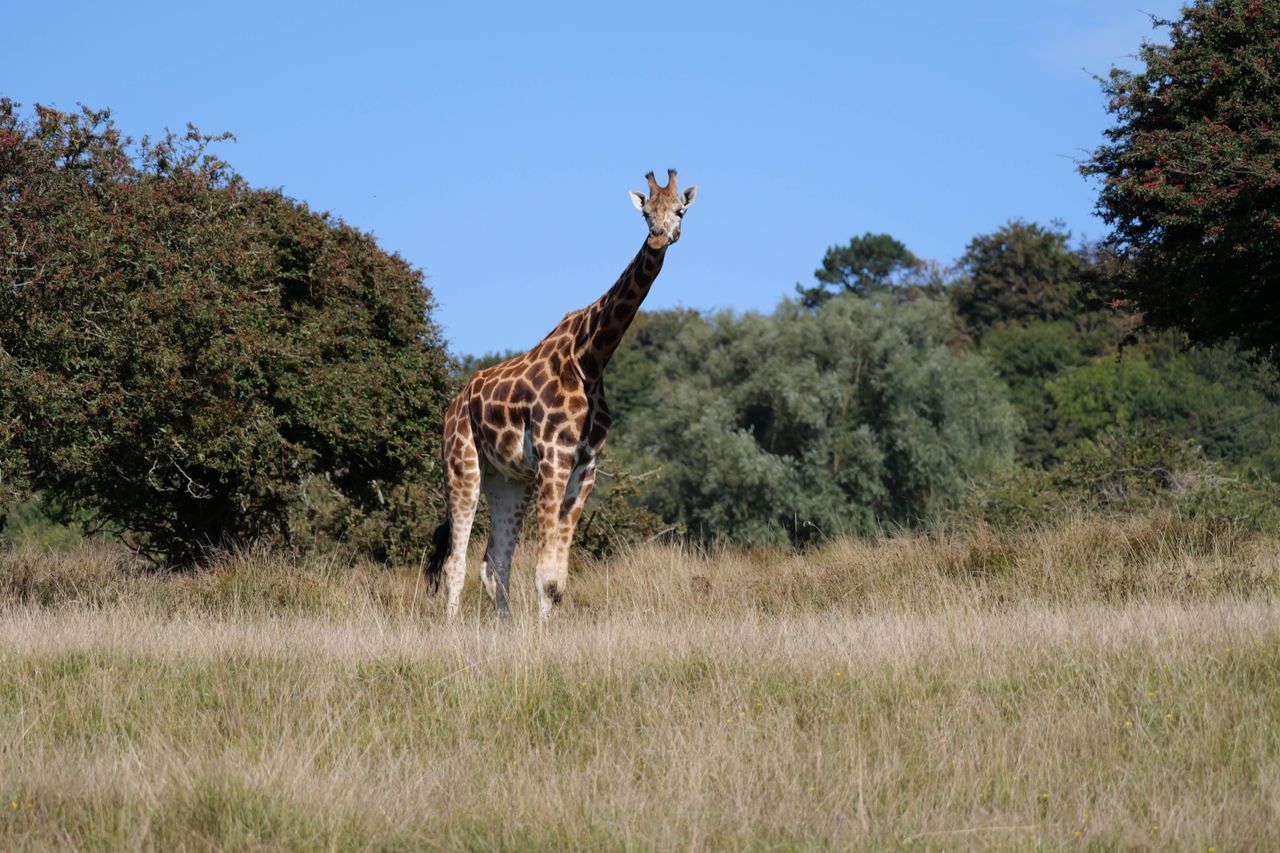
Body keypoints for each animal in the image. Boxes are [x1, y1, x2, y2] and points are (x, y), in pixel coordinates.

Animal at [425, 169, 697, 620]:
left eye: (679, 211)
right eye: (646, 213)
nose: (659, 237)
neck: (590, 360)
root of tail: (454, 403)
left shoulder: (585, 465)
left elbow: (556, 578)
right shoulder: (553, 457)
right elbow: (545, 574)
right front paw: (540, 632)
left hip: (508, 479)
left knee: (494, 562)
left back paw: (506, 626)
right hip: (462, 463)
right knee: (455, 562)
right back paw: (451, 629)